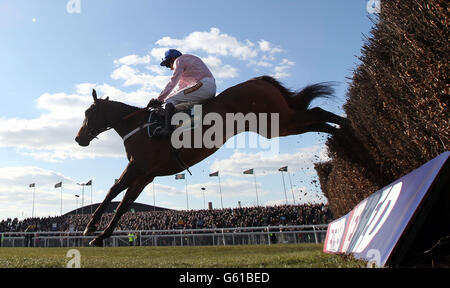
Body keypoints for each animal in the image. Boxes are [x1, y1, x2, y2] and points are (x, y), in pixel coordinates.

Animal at [75, 75, 346, 245]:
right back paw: (344, 133)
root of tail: (257, 81)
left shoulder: (137, 167)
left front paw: (91, 228)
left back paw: (347, 127)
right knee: (317, 118)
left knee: (317, 113)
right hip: (280, 126)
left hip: (277, 122)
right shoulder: (145, 175)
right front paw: (100, 235)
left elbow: (113, 193)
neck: (138, 126)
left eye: (88, 112)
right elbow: (123, 203)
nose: (78, 138)